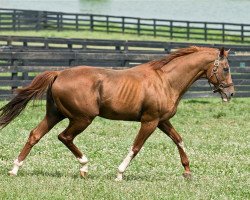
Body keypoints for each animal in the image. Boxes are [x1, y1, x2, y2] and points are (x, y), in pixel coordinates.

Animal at [0, 46, 234, 180]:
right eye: (226, 68)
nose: (230, 93)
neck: (166, 81)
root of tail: (59, 73)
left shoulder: (162, 121)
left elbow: (179, 140)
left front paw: (187, 171)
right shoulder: (149, 121)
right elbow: (136, 147)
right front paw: (119, 173)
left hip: (55, 115)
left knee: (35, 135)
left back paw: (15, 169)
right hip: (82, 118)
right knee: (64, 137)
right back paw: (84, 167)